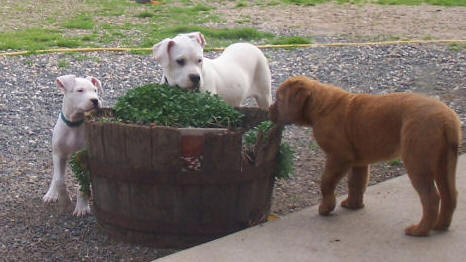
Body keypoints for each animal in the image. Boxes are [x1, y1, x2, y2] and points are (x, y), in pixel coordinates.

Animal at [42, 74, 103, 217]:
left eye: (95, 90)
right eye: (80, 90)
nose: (95, 100)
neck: (73, 124)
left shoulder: (84, 158)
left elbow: (82, 185)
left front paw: (82, 207)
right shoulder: (59, 155)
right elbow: (59, 180)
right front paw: (65, 200)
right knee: (56, 175)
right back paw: (51, 193)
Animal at [270, 75, 462, 235]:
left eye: (279, 98)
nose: (269, 111)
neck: (319, 105)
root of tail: (446, 118)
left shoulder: (339, 156)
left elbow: (326, 182)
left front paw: (325, 208)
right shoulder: (359, 161)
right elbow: (356, 183)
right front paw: (353, 205)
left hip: (417, 160)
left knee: (431, 198)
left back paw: (419, 230)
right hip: (445, 161)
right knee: (450, 194)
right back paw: (441, 225)